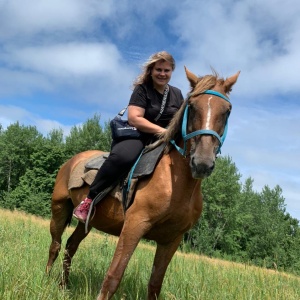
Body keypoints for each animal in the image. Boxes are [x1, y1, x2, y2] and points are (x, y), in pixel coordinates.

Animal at [46, 67, 239, 298]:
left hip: (89, 223)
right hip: (59, 208)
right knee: (55, 245)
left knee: (70, 246)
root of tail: (72, 160)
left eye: (227, 110)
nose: (202, 162)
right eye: (192, 106)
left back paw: (63, 285)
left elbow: (155, 284)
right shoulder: (135, 225)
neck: (176, 185)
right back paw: (45, 280)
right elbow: (113, 276)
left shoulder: (171, 240)